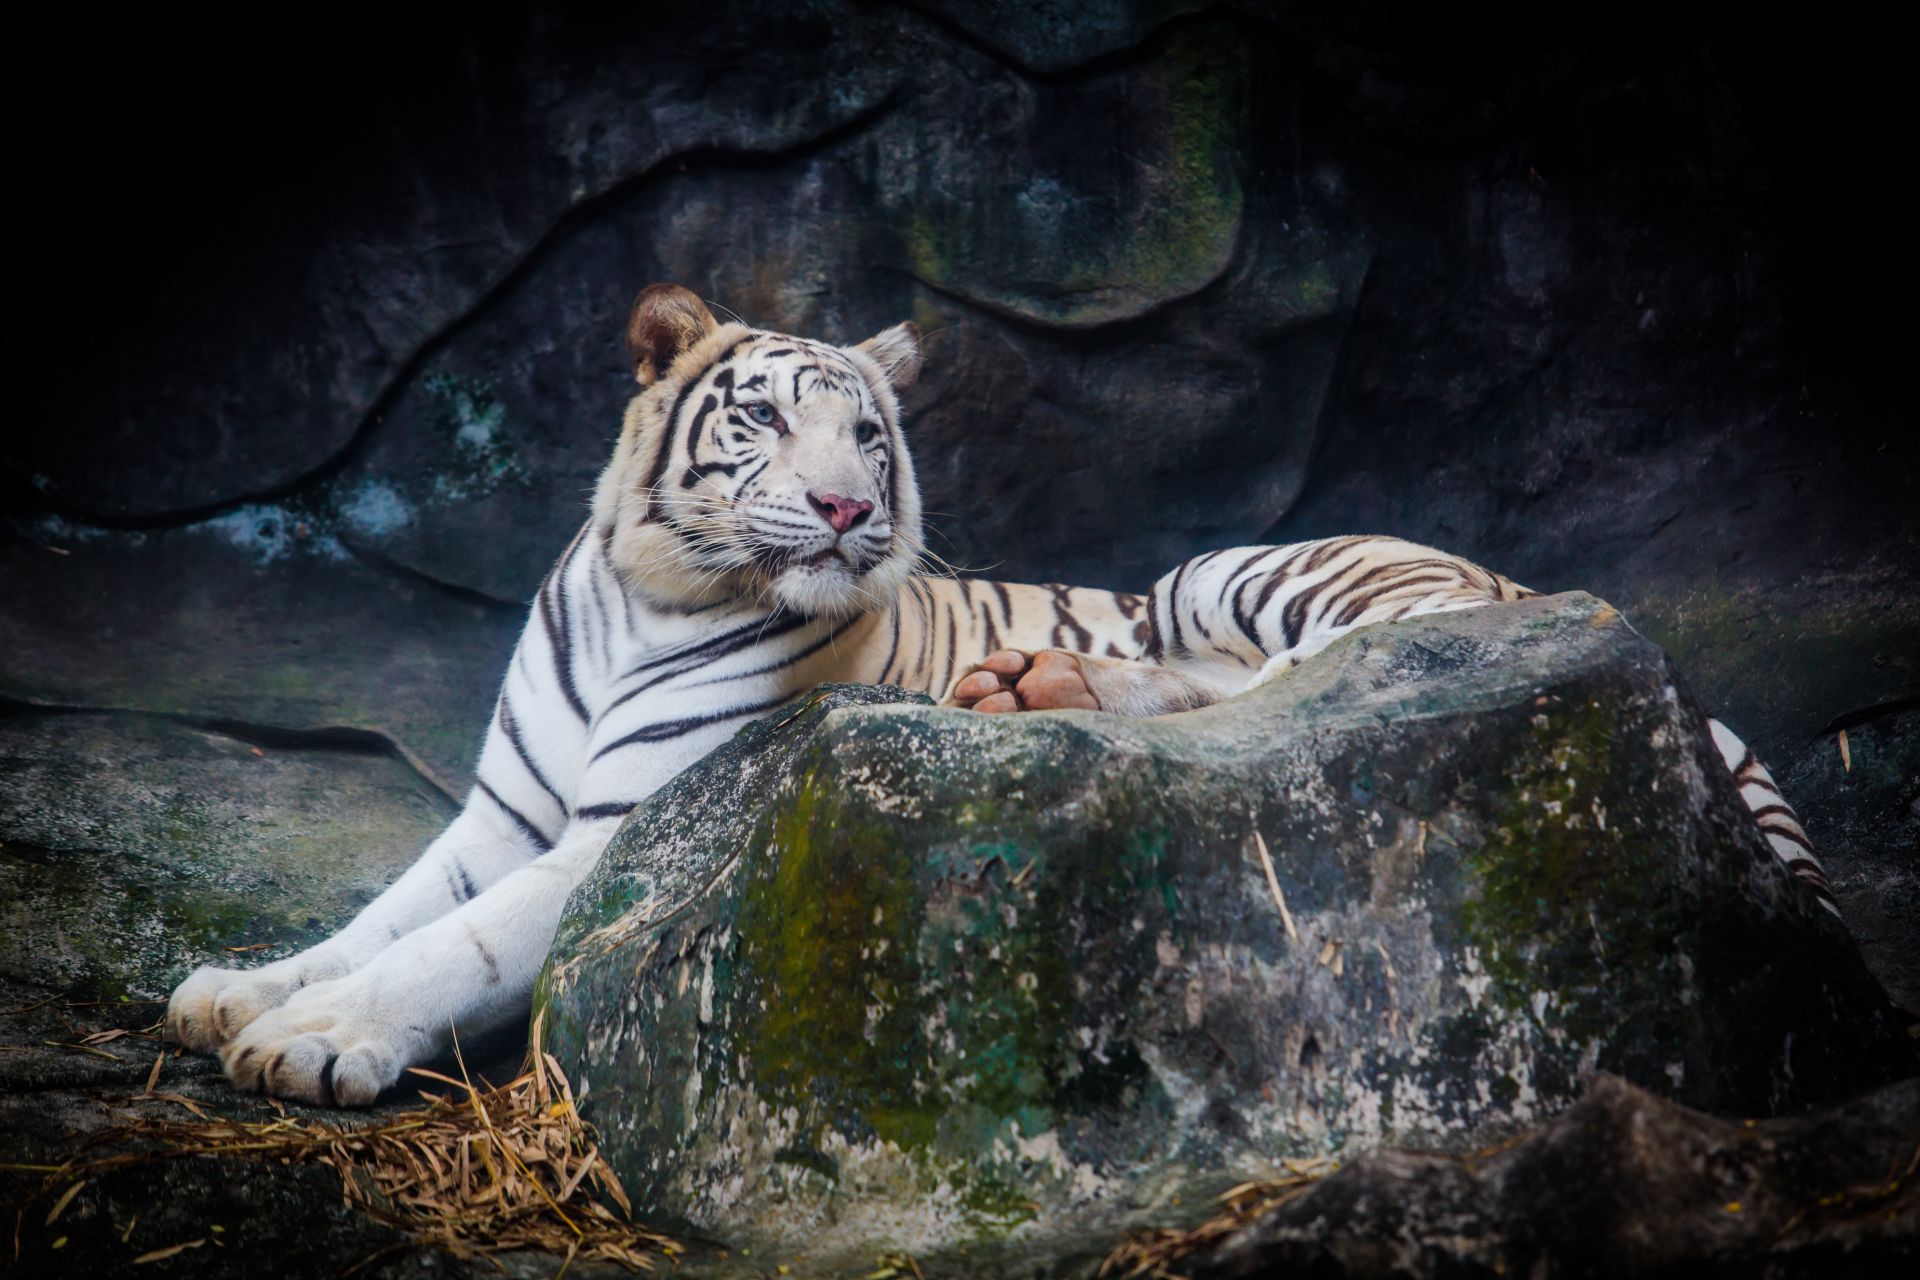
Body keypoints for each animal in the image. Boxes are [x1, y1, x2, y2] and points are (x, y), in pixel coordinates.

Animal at [164, 283, 1834, 1105]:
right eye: (763, 420)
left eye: (870, 437)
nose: (848, 510)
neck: (653, 596)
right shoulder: (506, 813)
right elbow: (389, 910)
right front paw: (240, 992)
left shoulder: (624, 828)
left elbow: (451, 947)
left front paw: (317, 1043)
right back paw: (1024, 687)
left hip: (1258, 565)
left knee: (1346, 664)